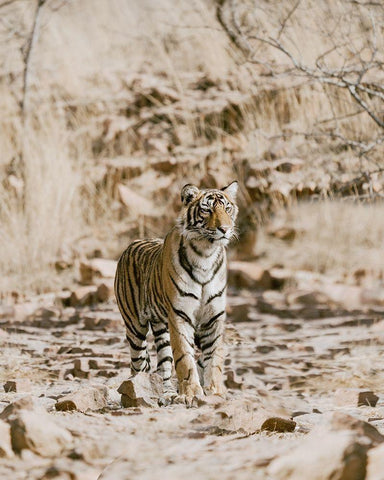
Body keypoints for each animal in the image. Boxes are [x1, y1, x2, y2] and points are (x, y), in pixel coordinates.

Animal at [114, 182, 238, 404]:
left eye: (227, 208)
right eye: (207, 209)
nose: (225, 229)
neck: (206, 254)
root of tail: (131, 244)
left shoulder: (214, 317)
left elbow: (214, 357)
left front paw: (214, 391)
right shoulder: (180, 315)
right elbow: (184, 358)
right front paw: (191, 393)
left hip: (161, 327)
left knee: (163, 365)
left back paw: (167, 394)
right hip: (135, 327)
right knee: (138, 365)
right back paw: (137, 394)